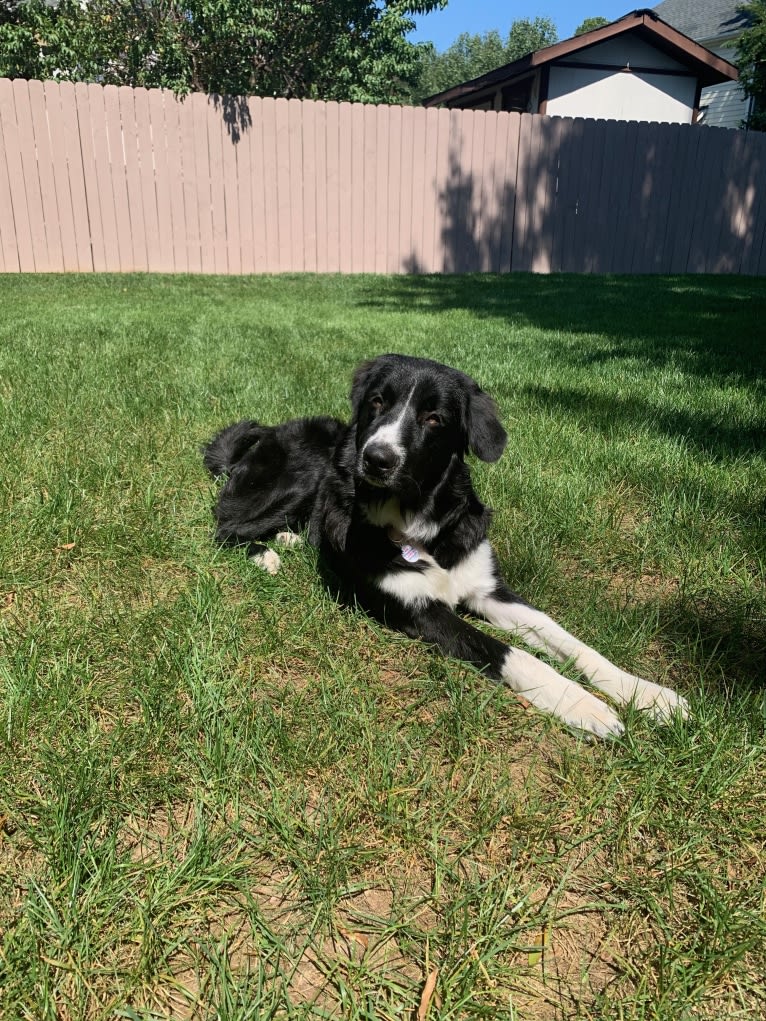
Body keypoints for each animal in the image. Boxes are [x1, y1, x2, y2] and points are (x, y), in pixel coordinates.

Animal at [204, 355, 690, 739]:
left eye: (434, 418)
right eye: (377, 402)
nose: (375, 459)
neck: (418, 523)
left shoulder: (489, 591)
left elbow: (572, 643)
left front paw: (649, 695)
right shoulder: (423, 611)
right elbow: (514, 655)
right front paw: (584, 705)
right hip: (301, 473)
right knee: (226, 527)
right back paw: (267, 553)